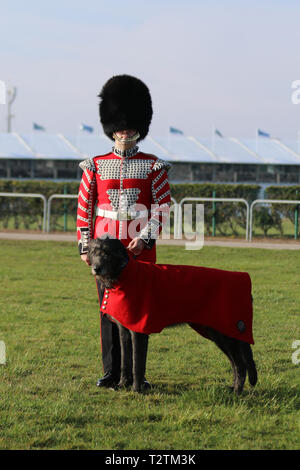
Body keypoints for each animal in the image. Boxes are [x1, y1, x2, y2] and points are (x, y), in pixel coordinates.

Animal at [87, 239, 258, 392]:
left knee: (240, 364)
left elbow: (137, 364)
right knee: (235, 362)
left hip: (226, 332)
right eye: (94, 252)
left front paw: (136, 390)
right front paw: (122, 385)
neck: (124, 273)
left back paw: (237, 392)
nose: (96, 268)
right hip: (218, 334)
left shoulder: (139, 331)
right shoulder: (124, 331)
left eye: (107, 253)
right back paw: (233, 388)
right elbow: (125, 362)